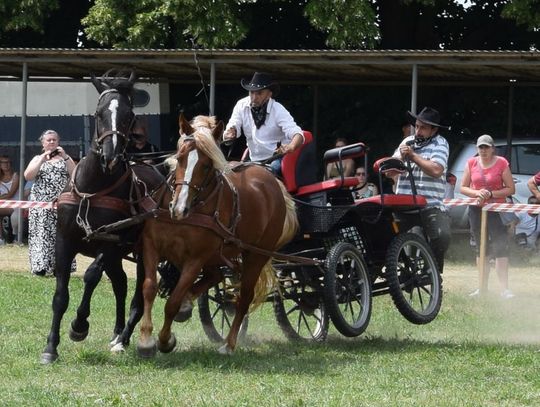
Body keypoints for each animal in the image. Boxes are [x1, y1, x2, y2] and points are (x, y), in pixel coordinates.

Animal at [40, 71, 165, 364]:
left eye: (130, 114)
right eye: (98, 113)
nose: (111, 155)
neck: (94, 188)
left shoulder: (110, 242)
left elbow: (91, 276)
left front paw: (79, 325)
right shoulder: (64, 241)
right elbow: (60, 295)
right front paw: (51, 347)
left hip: (141, 251)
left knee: (139, 293)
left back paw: (124, 337)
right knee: (120, 284)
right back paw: (118, 332)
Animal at [134, 115, 296, 356]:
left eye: (207, 165)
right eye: (179, 158)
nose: (179, 208)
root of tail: (272, 181)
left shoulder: (195, 258)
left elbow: (172, 302)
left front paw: (164, 340)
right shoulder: (151, 245)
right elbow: (149, 288)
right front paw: (145, 339)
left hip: (255, 255)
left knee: (243, 297)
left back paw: (228, 344)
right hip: (218, 254)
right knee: (216, 276)